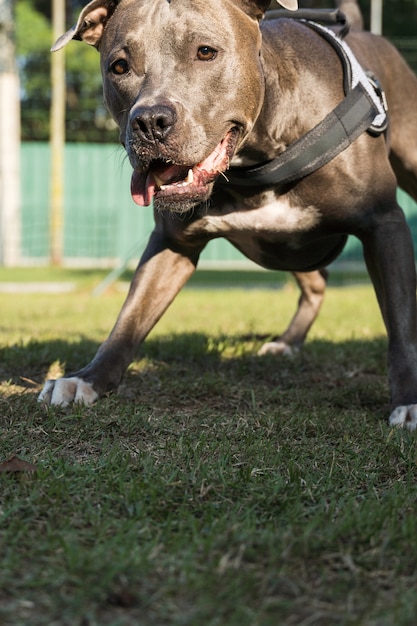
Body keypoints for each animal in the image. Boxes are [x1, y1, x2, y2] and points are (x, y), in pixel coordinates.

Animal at [39, 0, 417, 428]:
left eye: (206, 52)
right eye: (119, 66)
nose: (150, 121)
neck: (258, 152)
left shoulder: (384, 223)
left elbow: (401, 323)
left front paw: (408, 399)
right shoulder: (173, 244)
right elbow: (130, 317)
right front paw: (87, 379)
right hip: (288, 246)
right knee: (316, 283)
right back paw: (288, 342)